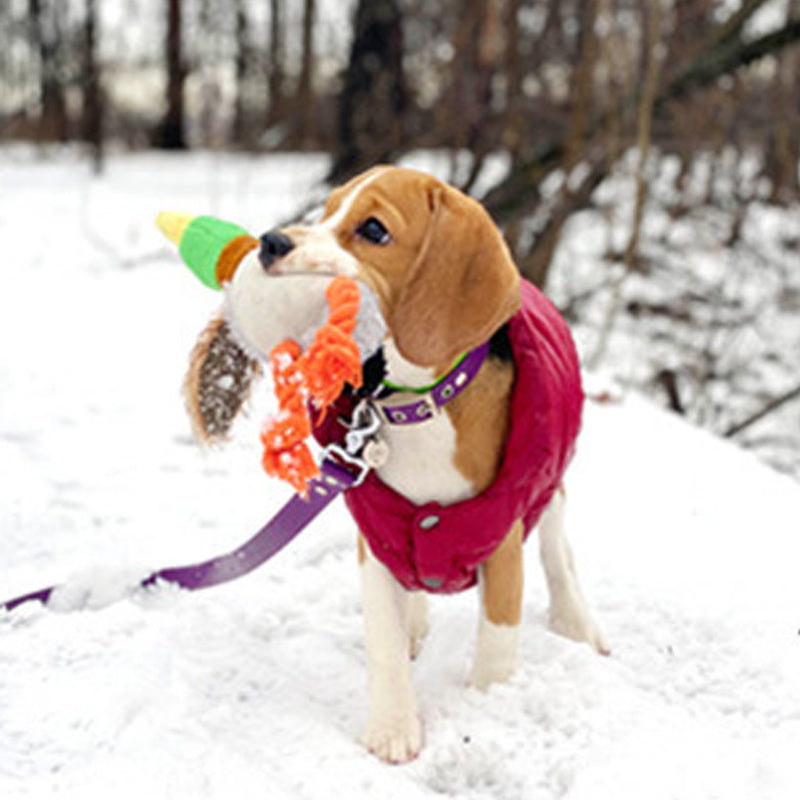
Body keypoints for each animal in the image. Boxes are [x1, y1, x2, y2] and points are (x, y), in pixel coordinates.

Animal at [214, 167, 608, 764]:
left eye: (374, 230)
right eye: (326, 210)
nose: (273, 242)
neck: (417, 404)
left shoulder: (501, 538)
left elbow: (498, 638)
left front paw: (487, 709)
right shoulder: (377, 534)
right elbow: (385, 642)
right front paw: (393, 728)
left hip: (550, 488)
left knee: (557, 553)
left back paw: (576, 621)